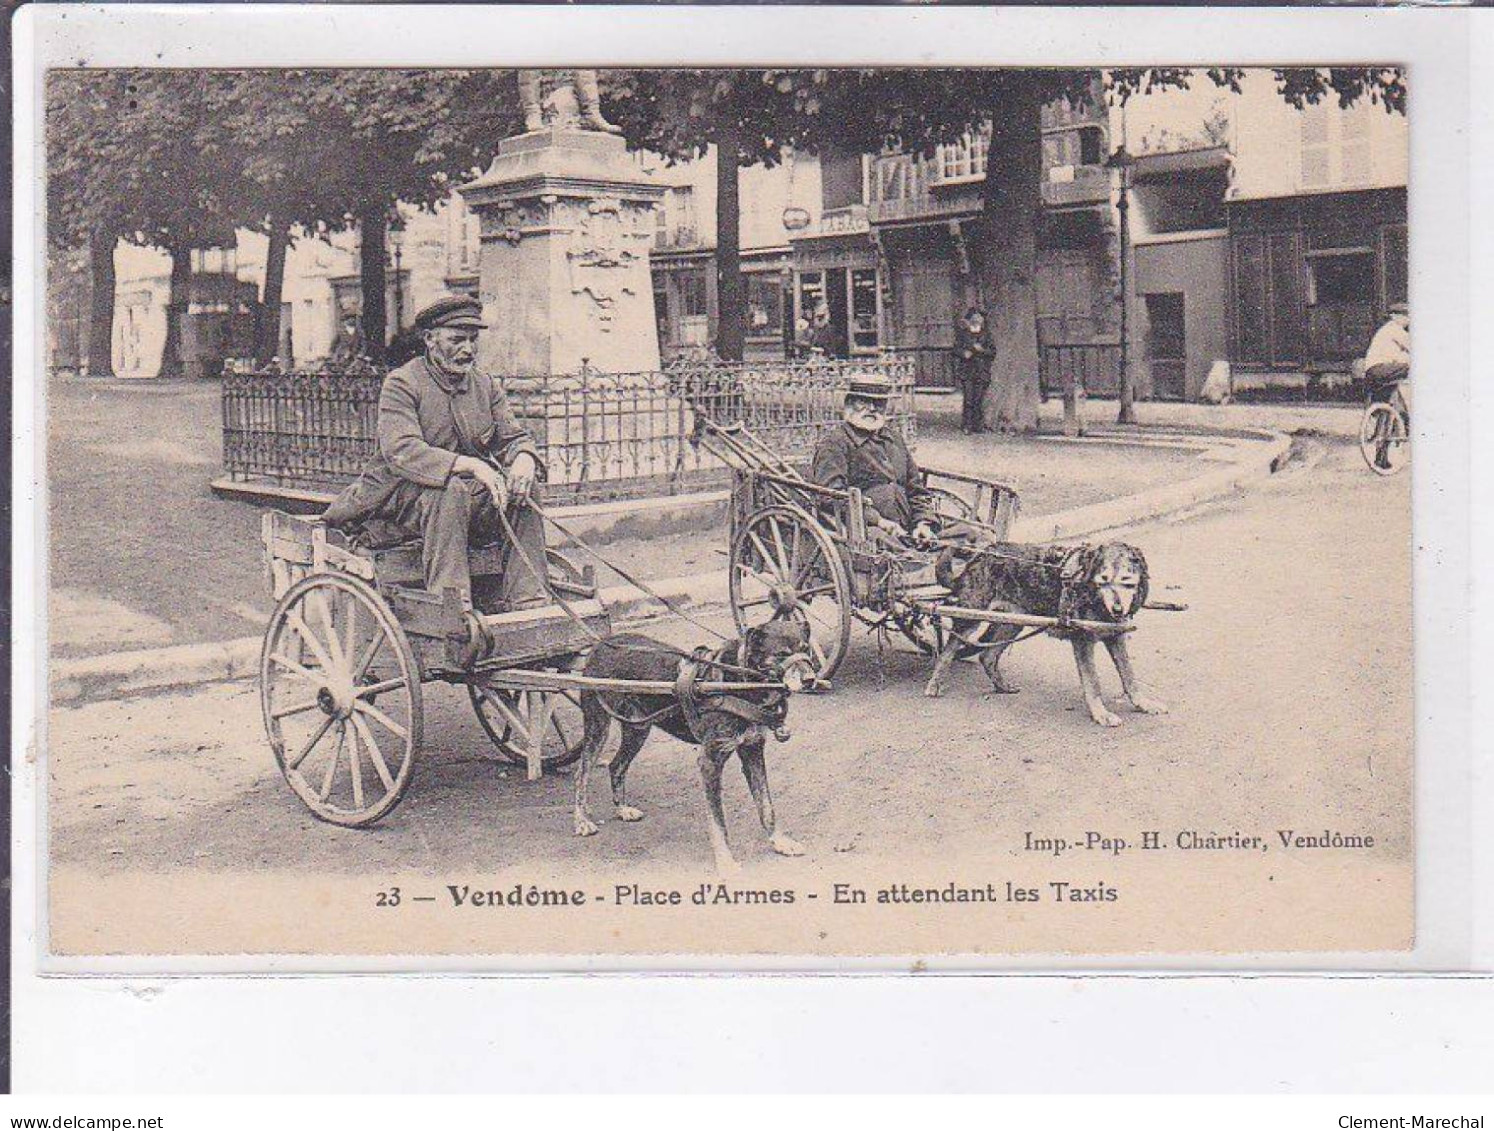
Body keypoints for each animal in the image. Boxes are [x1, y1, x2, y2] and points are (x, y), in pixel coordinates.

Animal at [570, 618, 812, 872]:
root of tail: (601, 644)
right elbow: (718, 821)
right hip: (598, 724)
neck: (739, 682)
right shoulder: (710, 761)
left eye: (806, 649)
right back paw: (582, 820)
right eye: (781, 654)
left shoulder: (752, 749)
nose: (810, 679)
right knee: (581, 773)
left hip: (637, 728)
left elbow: (766, 805)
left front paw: (779, 841)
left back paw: (621, 809)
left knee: (616, 765)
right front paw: (725, 861)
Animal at [920, 543, 1165, 729]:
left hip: (1012, 623)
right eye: (1103, 580)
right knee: (947, 652)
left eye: (1127, 582)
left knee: (987, 656)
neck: (1091, 594)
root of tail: (979, 556)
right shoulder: (1083, 641)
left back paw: (1002, 686)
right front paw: (1101, 714)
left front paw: (1143, 703)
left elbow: (1129, 676)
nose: (1117, 609)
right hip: (970, 618)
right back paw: (934, 685)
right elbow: (1093, 682)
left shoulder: (1116, 636)